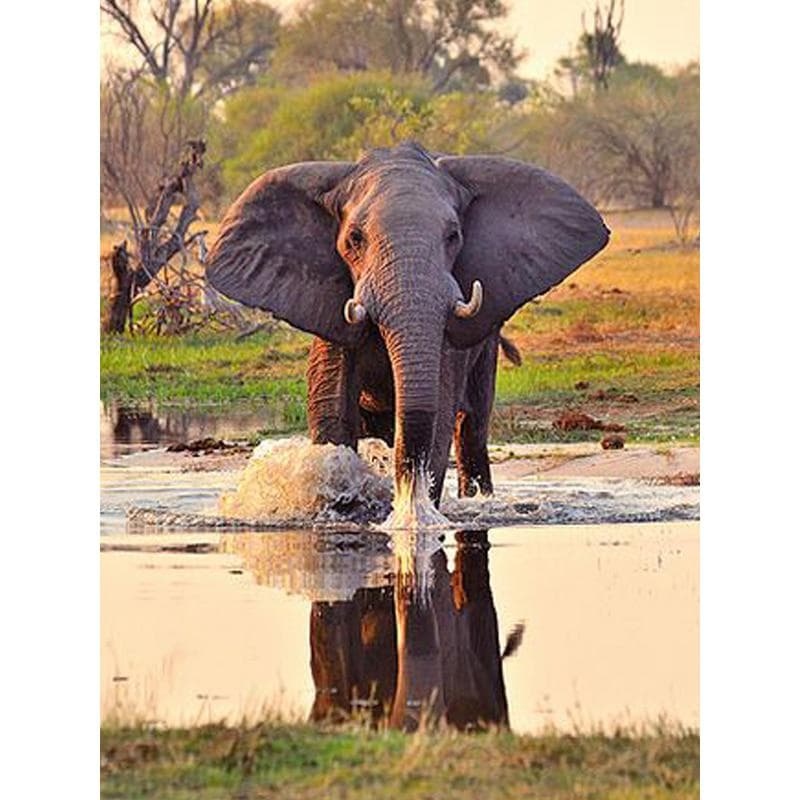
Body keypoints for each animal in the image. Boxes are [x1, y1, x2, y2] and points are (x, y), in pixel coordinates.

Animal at [207, 142, 609, 507]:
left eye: (453, 236)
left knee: (471, 427)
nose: (405, 494)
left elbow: (439, 413)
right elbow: (333, 411)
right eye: (355, 239)